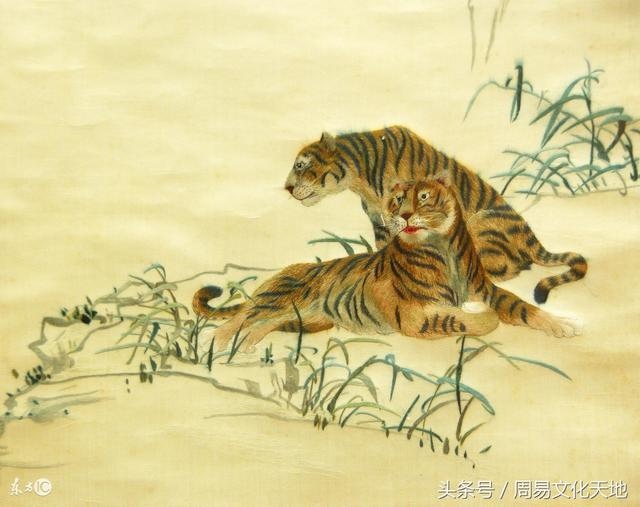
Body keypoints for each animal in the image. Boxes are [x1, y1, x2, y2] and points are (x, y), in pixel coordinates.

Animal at [193, 174, 577, 354]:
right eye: (396, 200)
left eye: (423, 196)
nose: (403, 214)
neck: (442, 246)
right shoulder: (416, 313)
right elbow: (482, 320)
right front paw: (475, 313)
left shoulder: (487, 288)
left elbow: (522, 307)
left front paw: (563, 324)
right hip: (279, 299)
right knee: (242, 316)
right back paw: (216, 341)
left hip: (303, 319)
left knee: (258, 324)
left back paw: (244, 346)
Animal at [283, 126, 587, 304]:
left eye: (301, 165)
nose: (286, 188)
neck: (358, 176)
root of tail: (528, 232)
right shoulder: (377, 215)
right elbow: (383, 247)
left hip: (480, 222)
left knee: (511, 267)